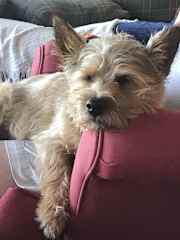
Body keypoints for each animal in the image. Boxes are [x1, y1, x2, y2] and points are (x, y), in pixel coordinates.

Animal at [0, 16, 180, 238]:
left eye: (124, 80)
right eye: (87, 77)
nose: (94, 105)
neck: (83, 130)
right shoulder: (51, 139)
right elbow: (57, 172)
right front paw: (52, 213)